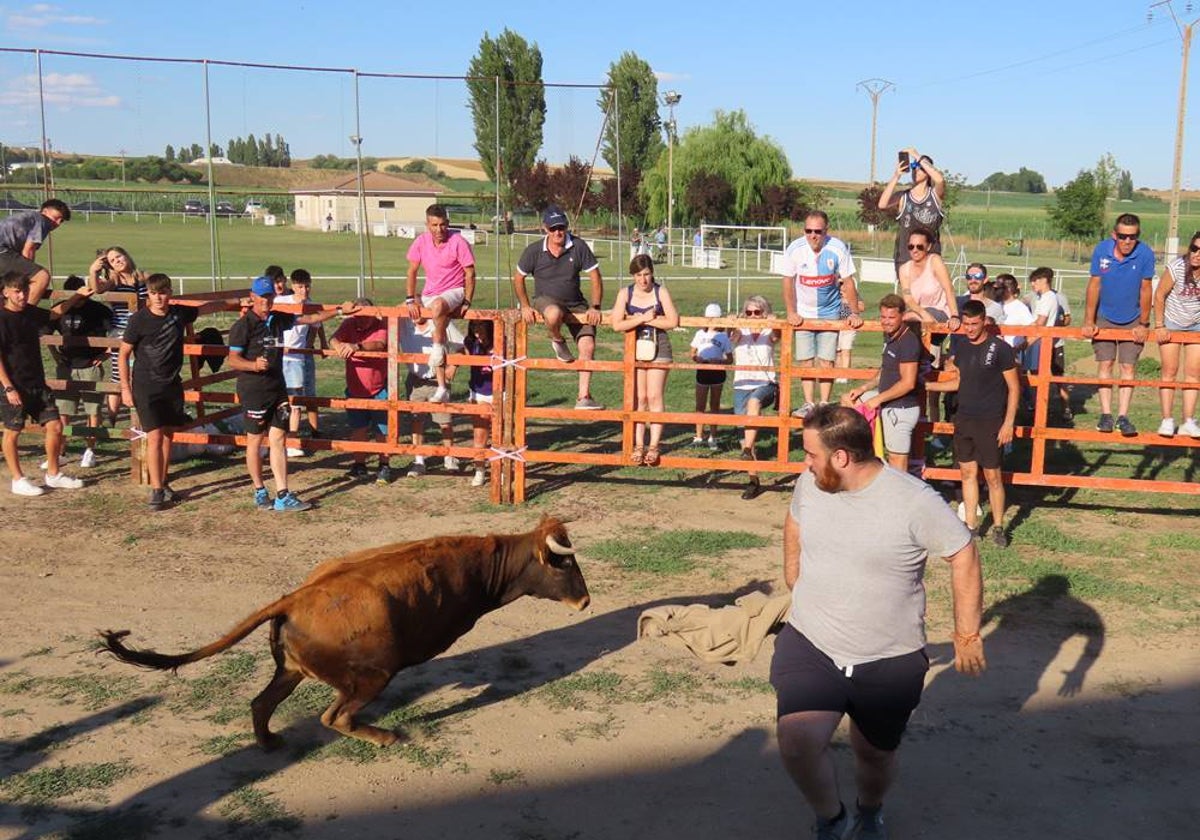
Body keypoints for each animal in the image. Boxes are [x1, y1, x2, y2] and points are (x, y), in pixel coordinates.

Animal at [99, 516, 590, 753]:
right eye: (564, 565)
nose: (586, 602)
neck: (481, 564)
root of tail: (293, 599)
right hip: (370, 677)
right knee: (335, 718)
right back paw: (387, 737)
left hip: (291, 669)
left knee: (262, 702)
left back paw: (268, 741)